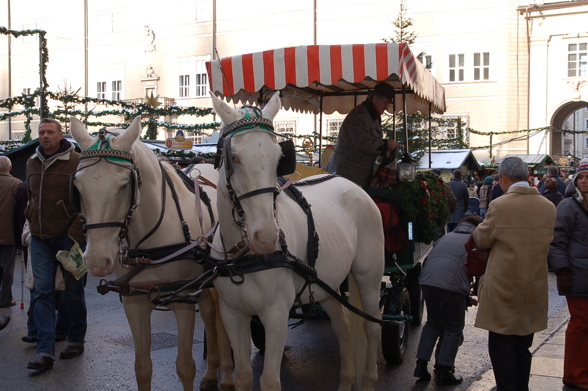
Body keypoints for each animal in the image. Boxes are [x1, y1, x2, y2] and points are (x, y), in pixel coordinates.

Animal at [72, 118, 235, 391]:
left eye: (124, 185)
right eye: (78, 187)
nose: (96, 261)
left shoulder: (182, 302)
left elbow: (185, 367)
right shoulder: (134, 303)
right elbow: (142, 368)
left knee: (221, 319)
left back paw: (228, 373)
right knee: (210, 314)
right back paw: (213, 370)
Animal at [210, 92, 386, 391]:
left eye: (279, 157)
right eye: (233, 157)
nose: (266, 237)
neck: (246, 259)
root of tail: (355, 186)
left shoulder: (276, 315)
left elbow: (269, 380)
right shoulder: (232, 314)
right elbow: (243, 375)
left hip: (369, 276)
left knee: (372, 326)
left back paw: (370, 379)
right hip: (326, 283)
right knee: (343, 325)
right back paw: (346, 381)